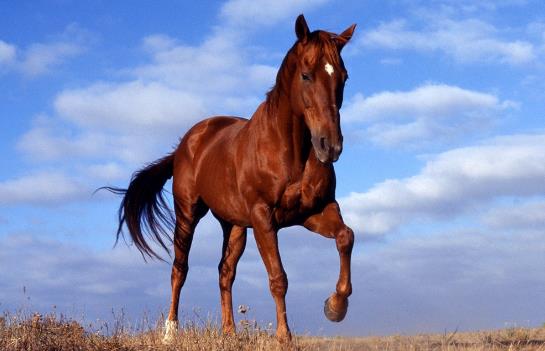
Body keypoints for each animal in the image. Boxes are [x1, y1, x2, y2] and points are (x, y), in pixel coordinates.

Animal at [108, 15, 354, 342]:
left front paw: (335, 306)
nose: (331, 146)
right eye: (306, 75)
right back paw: (170, 332)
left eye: (344, 77)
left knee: (225, 272)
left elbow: (345, 237)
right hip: (187, 214)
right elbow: (278, 277)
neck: (290, 152)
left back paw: (229, 332)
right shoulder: (264, 217)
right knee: (179, 269)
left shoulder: (314, 212)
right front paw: (284, 337)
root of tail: (185, 144)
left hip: (234, 225)